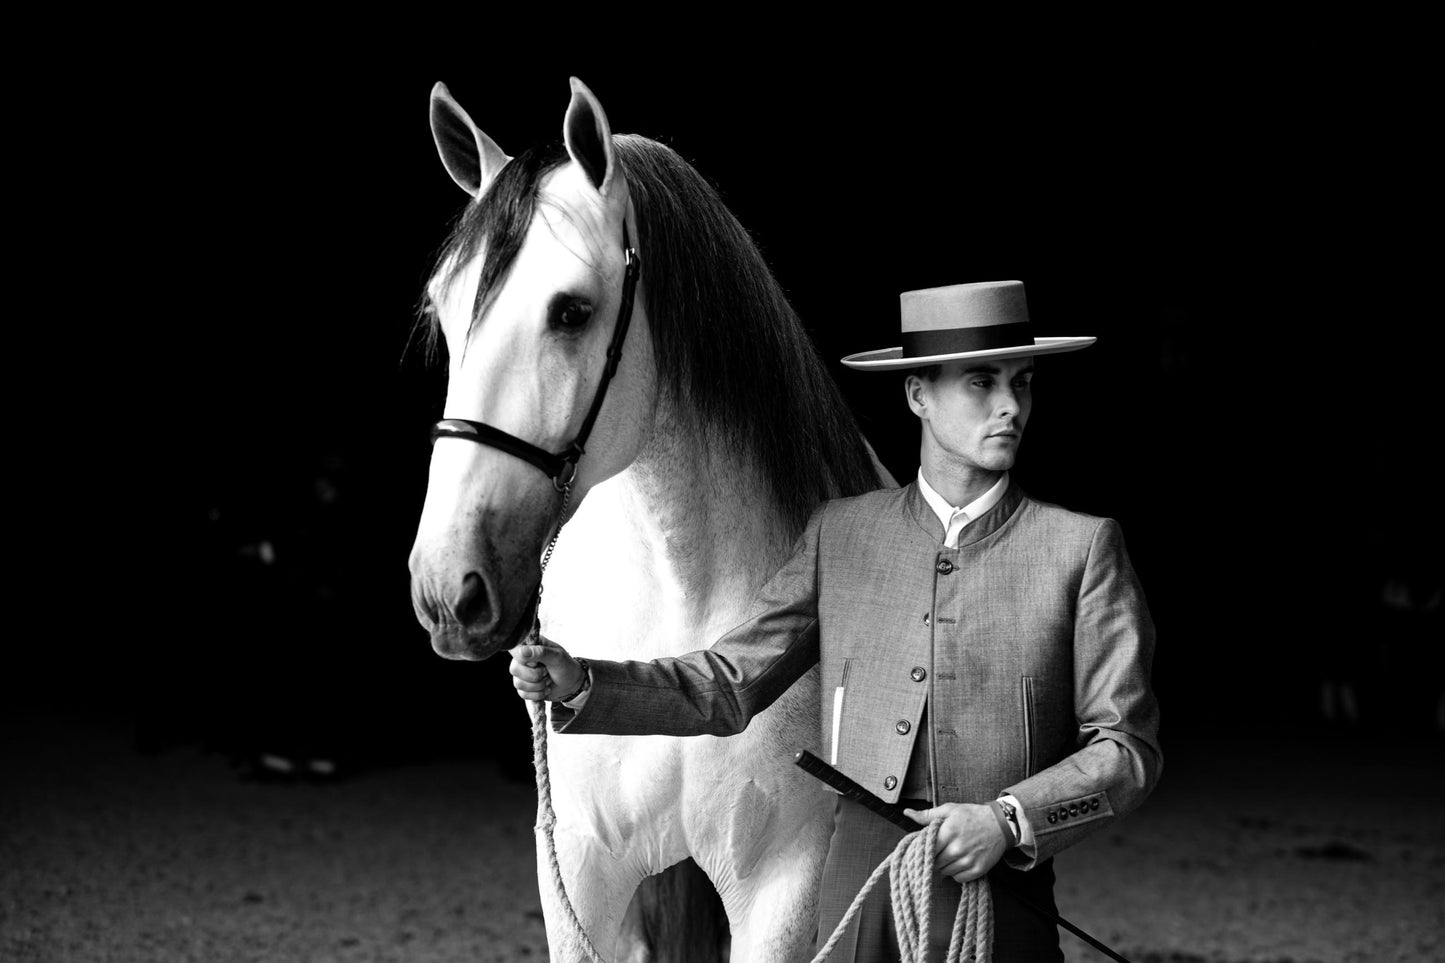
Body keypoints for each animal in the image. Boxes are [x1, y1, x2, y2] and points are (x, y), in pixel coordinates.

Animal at [407, 78, 890, 954]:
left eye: (570, 311)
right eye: (443, 308)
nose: (446, 590)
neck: (682, 607)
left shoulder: (785, 888)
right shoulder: (579, 877)